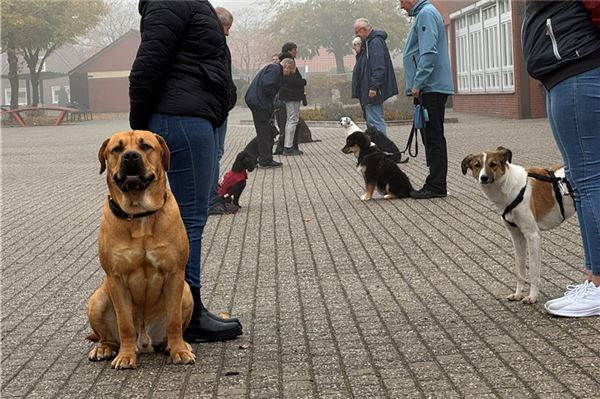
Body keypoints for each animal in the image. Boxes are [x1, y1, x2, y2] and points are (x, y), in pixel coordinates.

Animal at [88, 130, 195, 370]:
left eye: (145, 146)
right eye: (117, 149)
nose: (130, 156)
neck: (139, 216)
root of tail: (145, 342)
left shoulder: (175, 274)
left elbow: (174, 321)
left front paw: (179, 351)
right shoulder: (116, 278)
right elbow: (125, 324)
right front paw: (126, 356)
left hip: (186, 292)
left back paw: (175, 344)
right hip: (97, 299)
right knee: (107, 336)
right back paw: (104, 348)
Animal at [460, 147, 576, 304]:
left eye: (493, 164)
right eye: (477, 165)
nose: (483, 178)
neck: (510, 188)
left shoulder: (533, 236)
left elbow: (533, 272)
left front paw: (532, 296)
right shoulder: (517, 237)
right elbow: (520, 271)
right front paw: (518, 294)